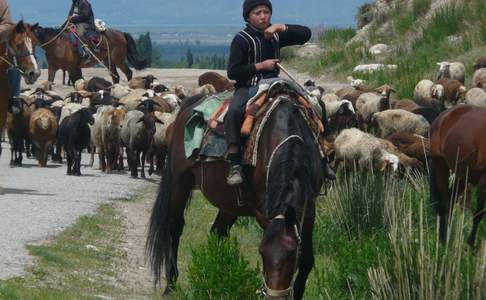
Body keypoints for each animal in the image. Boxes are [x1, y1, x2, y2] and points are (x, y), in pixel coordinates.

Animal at [430, 105, 484, 246]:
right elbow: (479, 213)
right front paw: (471, 243)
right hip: (440, 165)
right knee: (445, 202)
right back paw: (444, 239)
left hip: (463, 176)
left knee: (451, 199)